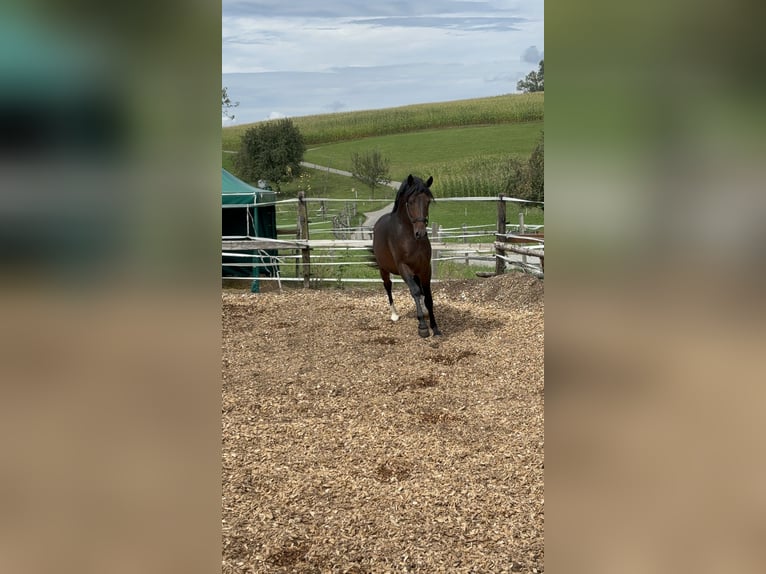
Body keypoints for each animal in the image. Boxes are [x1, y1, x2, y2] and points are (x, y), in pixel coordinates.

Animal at [374, 176, 440, 338]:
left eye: (428, 201)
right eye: (410, 202)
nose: (421, 233)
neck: (409, 236)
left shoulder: (425, 268)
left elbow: (428, 296)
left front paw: (435, 327)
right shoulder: (403, 267)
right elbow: (415, 291)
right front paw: (422, 327)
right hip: (383, 269)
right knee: (388, 286)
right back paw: (394, 314)